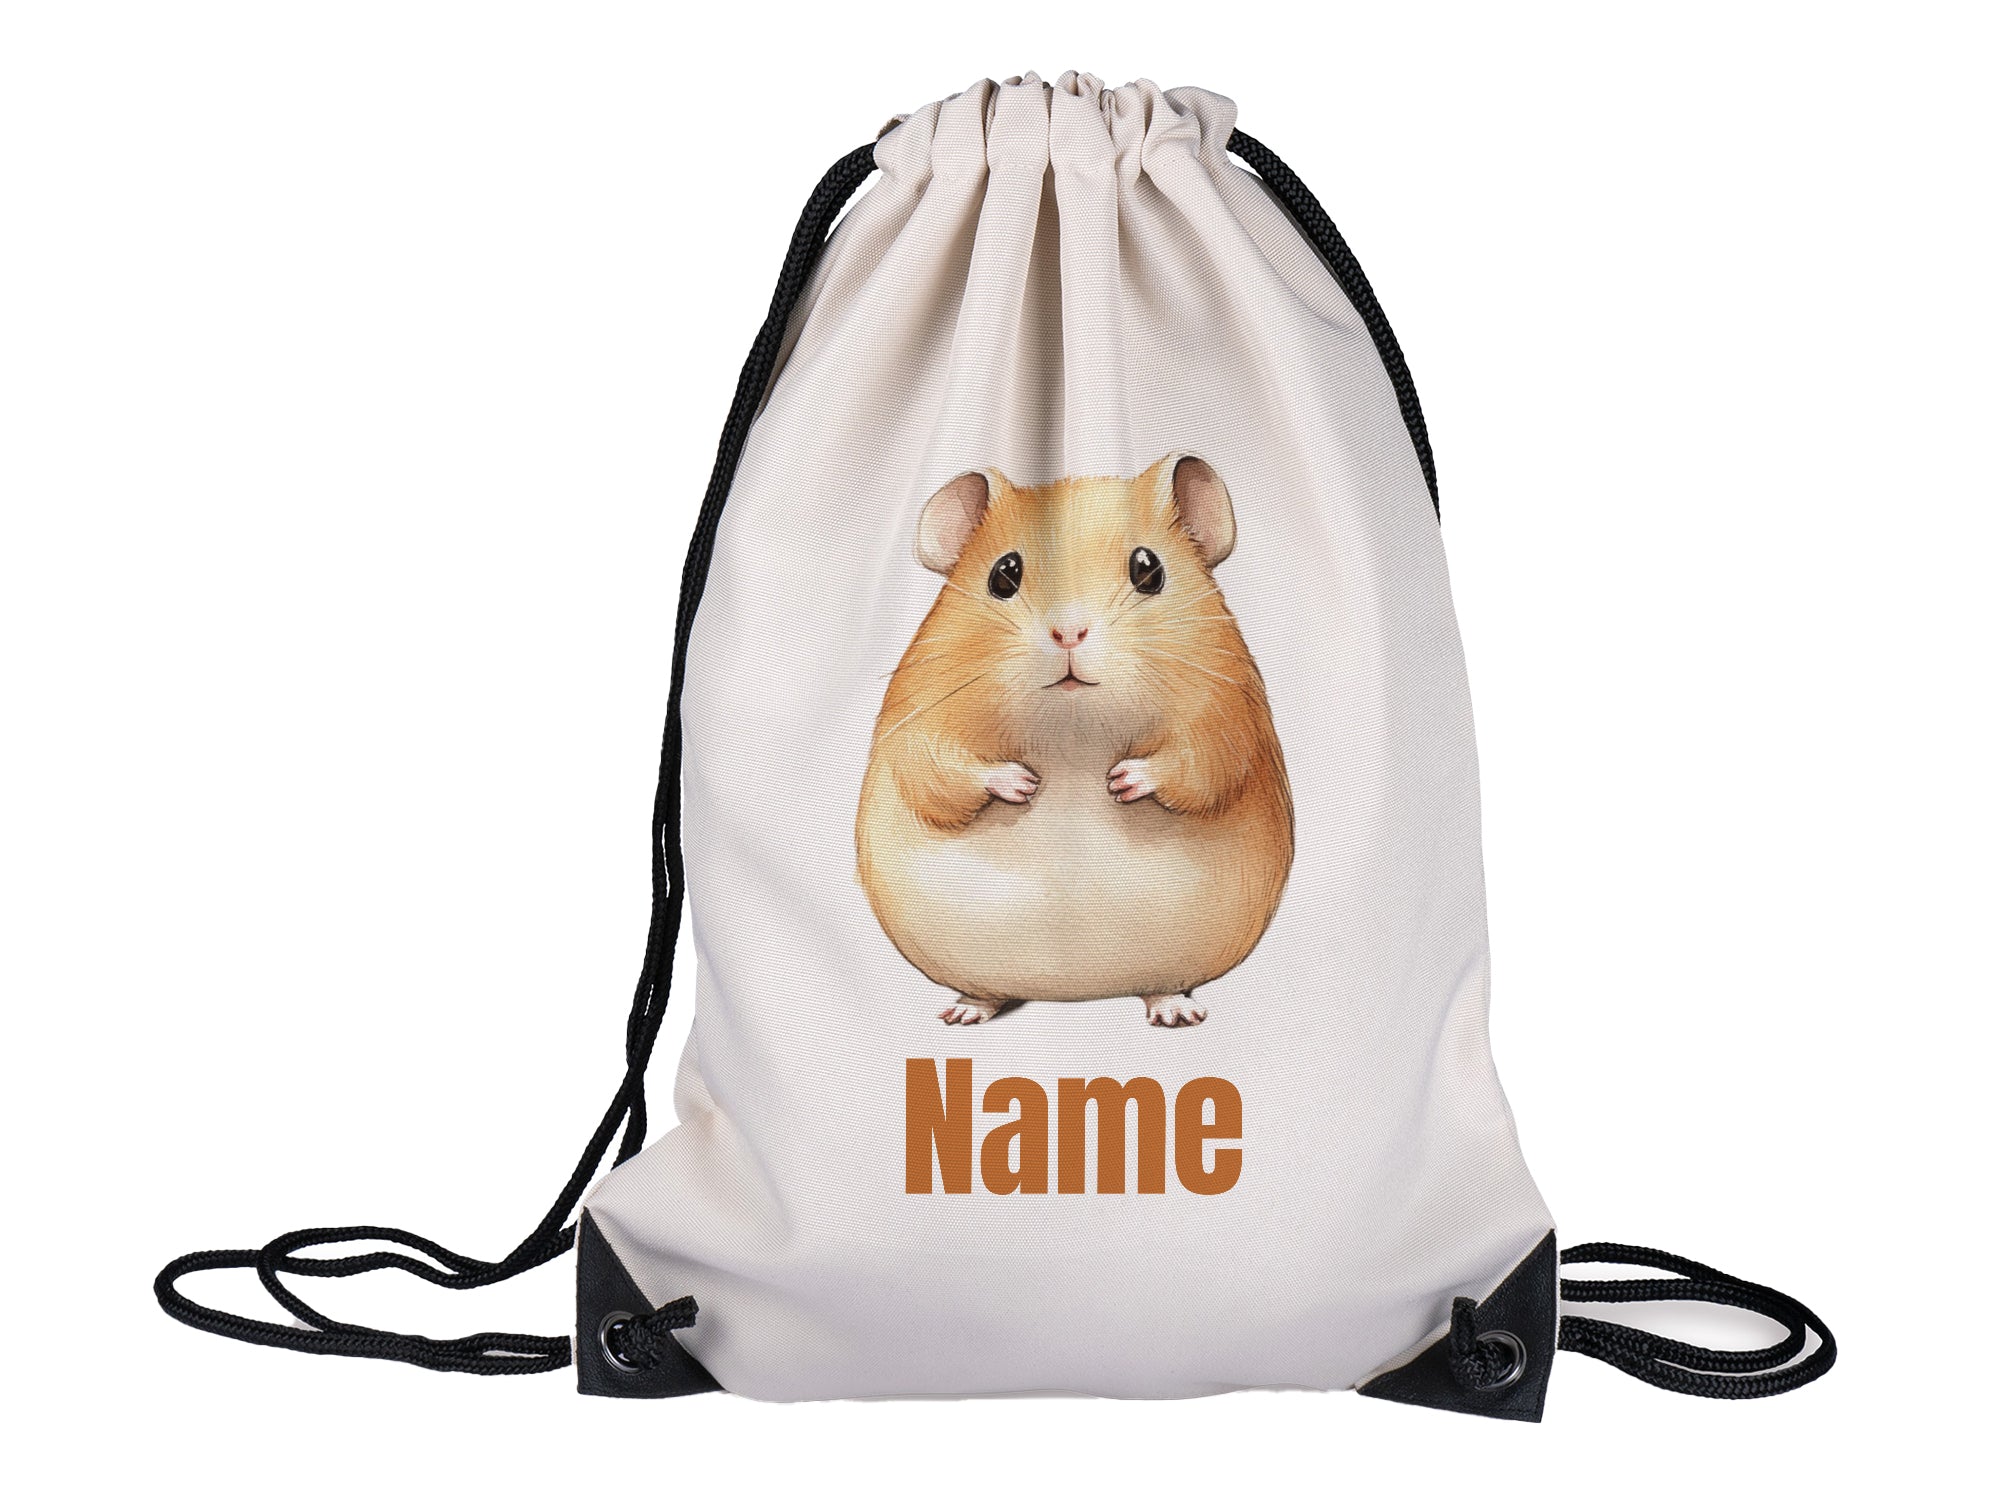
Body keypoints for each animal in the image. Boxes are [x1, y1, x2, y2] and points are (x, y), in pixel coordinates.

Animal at [856, 453, 1293, 1028]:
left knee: (1162, 987)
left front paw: (1121, 781)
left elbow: (1198, 766)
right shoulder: (918, 716)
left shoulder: (1228, 716)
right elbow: (941, 770)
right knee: (985, 992)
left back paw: (1176, 1013)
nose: (1068, 632)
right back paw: (963, 1013)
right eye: (1003, 574)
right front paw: (1024, 785)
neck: (1072, 730)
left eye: (1148, 569)